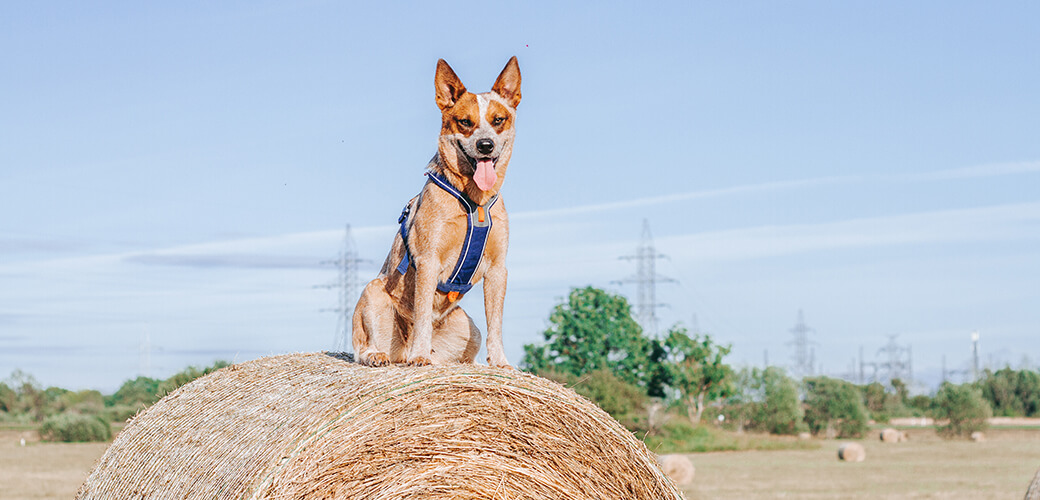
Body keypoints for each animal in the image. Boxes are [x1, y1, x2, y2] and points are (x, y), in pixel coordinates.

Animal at [353, 56, 524, 365]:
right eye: (465, 122)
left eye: (498, 120)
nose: (485, 145)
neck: (474, 203)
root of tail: (401, 351)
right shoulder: (428, 260)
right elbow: (422, 314)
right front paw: (420, 357)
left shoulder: (497, 270)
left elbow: (496, 323)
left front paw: (501, 363)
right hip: (373, 292)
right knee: (363, 346)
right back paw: (384, 355)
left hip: (470, 330)